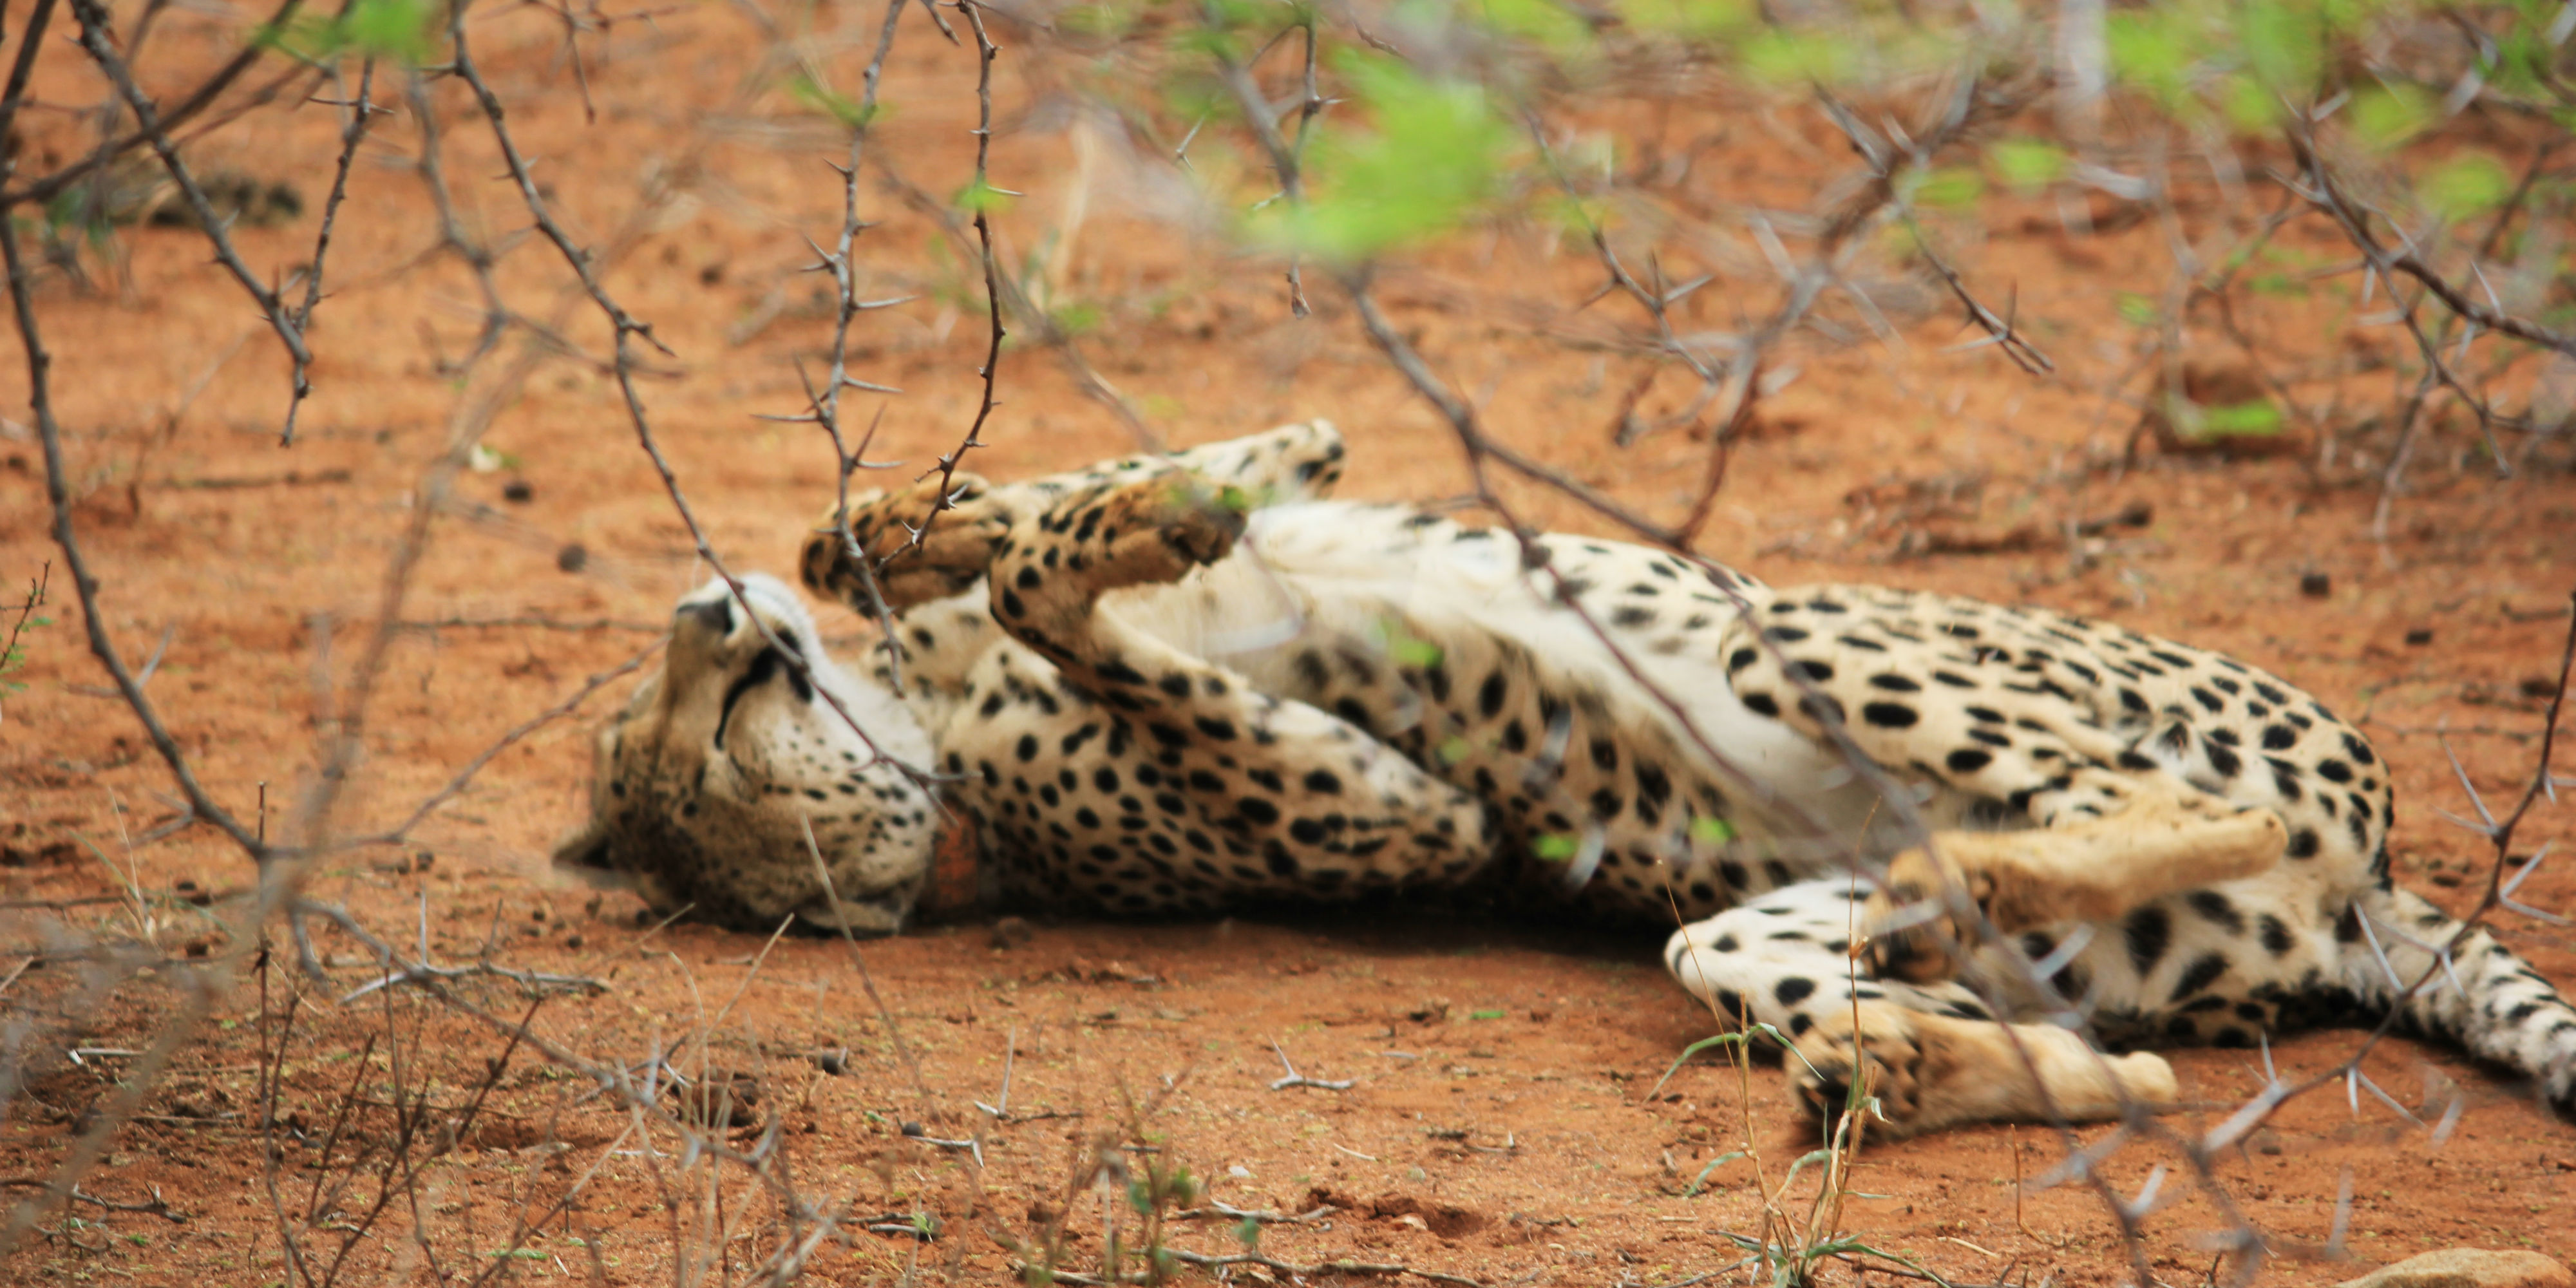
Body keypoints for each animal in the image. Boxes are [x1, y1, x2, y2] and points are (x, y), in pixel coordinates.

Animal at [564, 422, 2576, 1139]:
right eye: (702, 748)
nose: (703, 611)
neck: (934, 746)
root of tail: (2372, 898)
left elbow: (1045, 522)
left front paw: (934, 517)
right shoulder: (1423, 813)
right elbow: (1069, 587)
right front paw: (1119, 524)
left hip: (1803, 639)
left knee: (2150, 809)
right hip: (1803, 835)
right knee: (2067, 968)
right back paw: (1922, 1056)